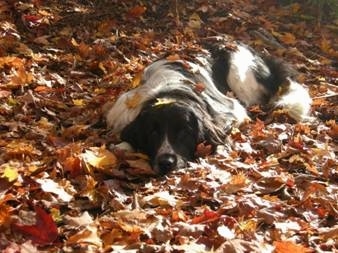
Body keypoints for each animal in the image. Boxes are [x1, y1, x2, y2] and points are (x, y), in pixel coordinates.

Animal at [105, 41, 312, 176]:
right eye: (152, 132)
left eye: (184, 132)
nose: (166, 163)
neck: (171, 92)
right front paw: (122, 146)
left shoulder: (230, 109)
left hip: (239, 72)